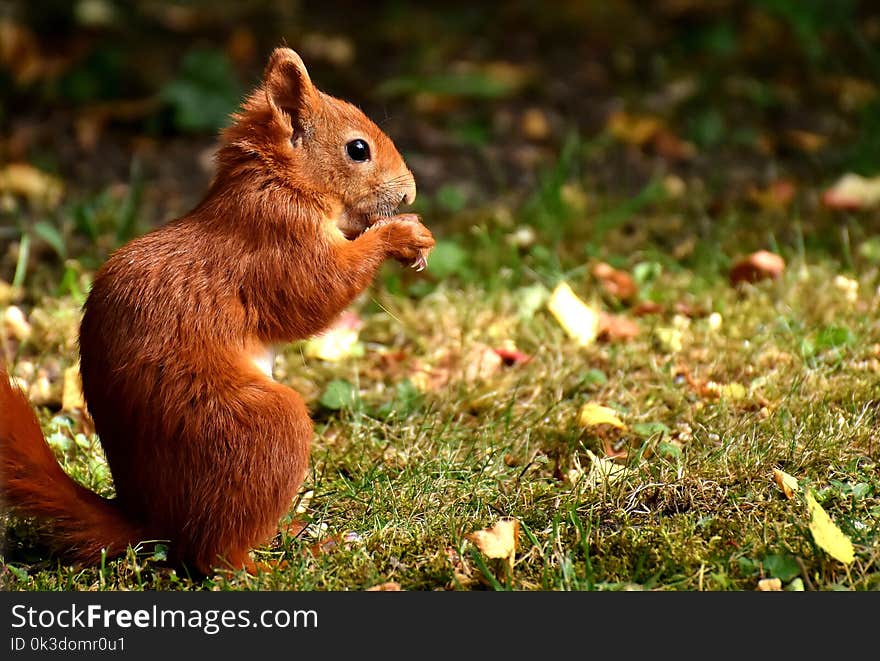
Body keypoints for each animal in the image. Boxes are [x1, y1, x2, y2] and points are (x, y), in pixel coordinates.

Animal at [1, 47, 434, 572]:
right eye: (357, 149)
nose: (410, 193)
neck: (277, 183)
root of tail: (153, 523)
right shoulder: (278, 243)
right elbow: (318, 292)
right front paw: (401, 235)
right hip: (253, 429)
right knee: (213, 556)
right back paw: (274, 562)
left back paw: (292, 532)